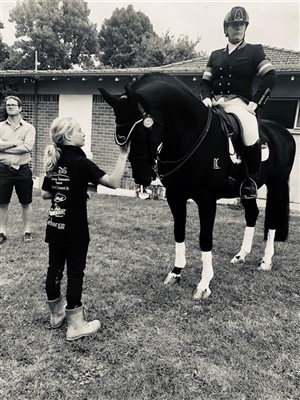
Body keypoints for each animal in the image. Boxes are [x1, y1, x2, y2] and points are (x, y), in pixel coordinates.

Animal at [100, 72, 296, 298]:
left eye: (141, 131)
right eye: (120, 137)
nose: (142, 177)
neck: (191, 134)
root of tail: (283, 132)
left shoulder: (207, 200)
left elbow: (205, 238)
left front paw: (204, 284)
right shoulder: (175, 196)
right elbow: (179, 232)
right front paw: (176, 272)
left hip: (277, 185)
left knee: (271, 220)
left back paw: (266, 261)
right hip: (247, 190)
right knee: (252, 213)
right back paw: (241, 256)